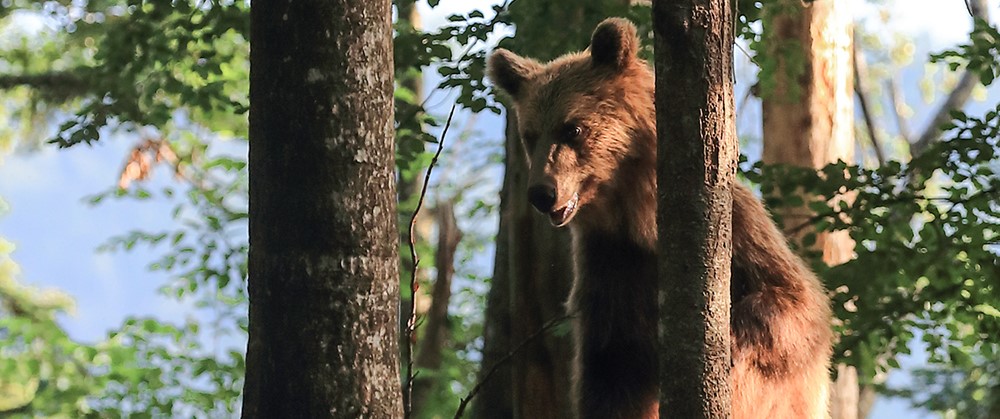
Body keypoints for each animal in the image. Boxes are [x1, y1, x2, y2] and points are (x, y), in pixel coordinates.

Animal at [488, 17, 832, 419]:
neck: (638, 221)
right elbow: (611, 374)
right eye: (530, 135)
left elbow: (795, 302)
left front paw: (728, 340)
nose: (542, 193)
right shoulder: (611, 269)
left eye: (572, 128)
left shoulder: (740, 231)